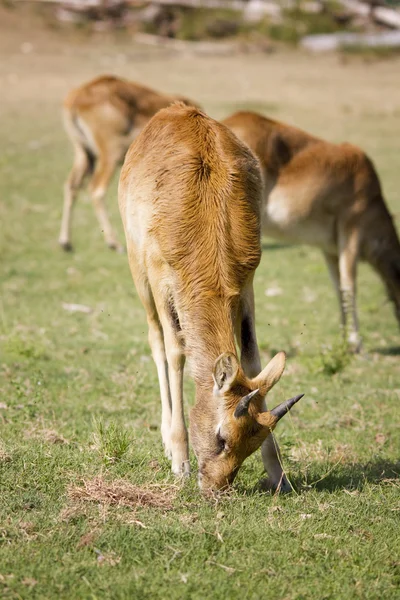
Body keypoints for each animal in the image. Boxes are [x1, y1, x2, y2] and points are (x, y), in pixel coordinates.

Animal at [58, 75, 199, 253]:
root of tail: (78, 96)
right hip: (110, 156)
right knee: (97, 190)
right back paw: (114, 243)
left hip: (84, 155)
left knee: (71, 186)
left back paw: (66, 242)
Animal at [119, 104, 304, 492]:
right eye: (221, 436)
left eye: (252, 441)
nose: (215, 488)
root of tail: (175, 110)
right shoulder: (163, 279)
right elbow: (176, 351)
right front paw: (179, 461)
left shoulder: (246, 284)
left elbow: (251, 356)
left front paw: (279, 475)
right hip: (138, 272)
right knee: (156, 340)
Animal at [222, 111, 400, 352]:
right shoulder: (351, 230)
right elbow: (349, 285)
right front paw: (357, 345)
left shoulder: (330, 249)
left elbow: (338, 287)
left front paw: (343, 341)